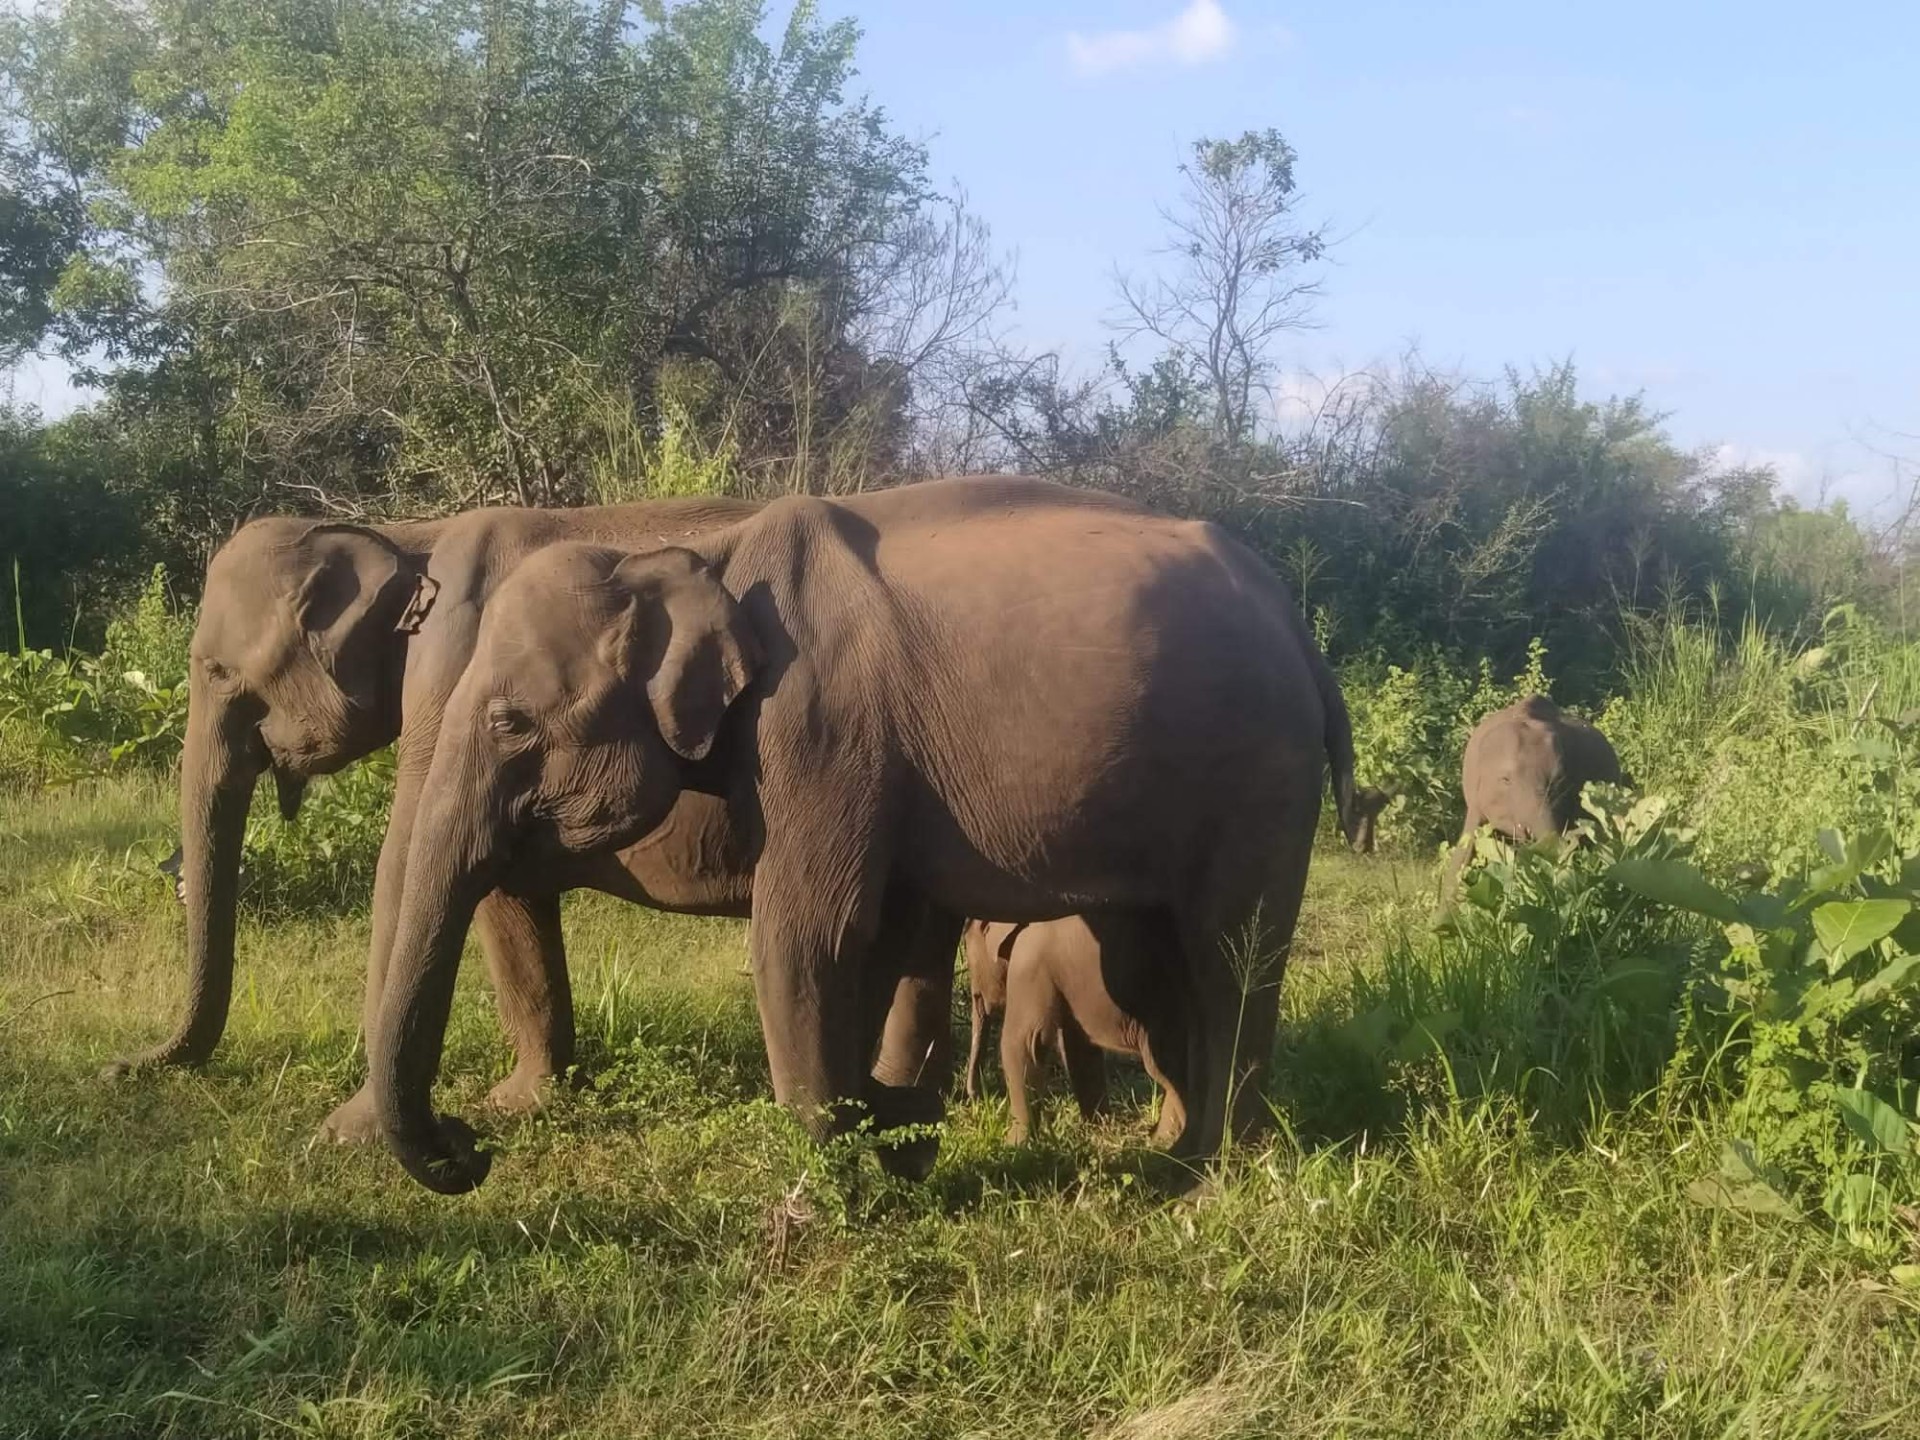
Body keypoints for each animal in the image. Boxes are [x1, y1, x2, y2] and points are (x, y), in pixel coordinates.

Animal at [105, 495, 967, 1175]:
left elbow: (403, 868)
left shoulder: (448, 678)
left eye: (215, 671)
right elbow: (503, 891)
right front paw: (525, 1104)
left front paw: (346, 1134)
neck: (409, 535)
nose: (121, 1065)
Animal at [960, 917, 1182, 1144]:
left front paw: (1014, 1144)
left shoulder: (1030, 961)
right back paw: (1163, 1141)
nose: (976, 1099)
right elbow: (1078, 1047)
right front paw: (1096, 1127)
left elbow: (1023, 1042)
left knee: (1164, 1069)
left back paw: (1163, 1142)